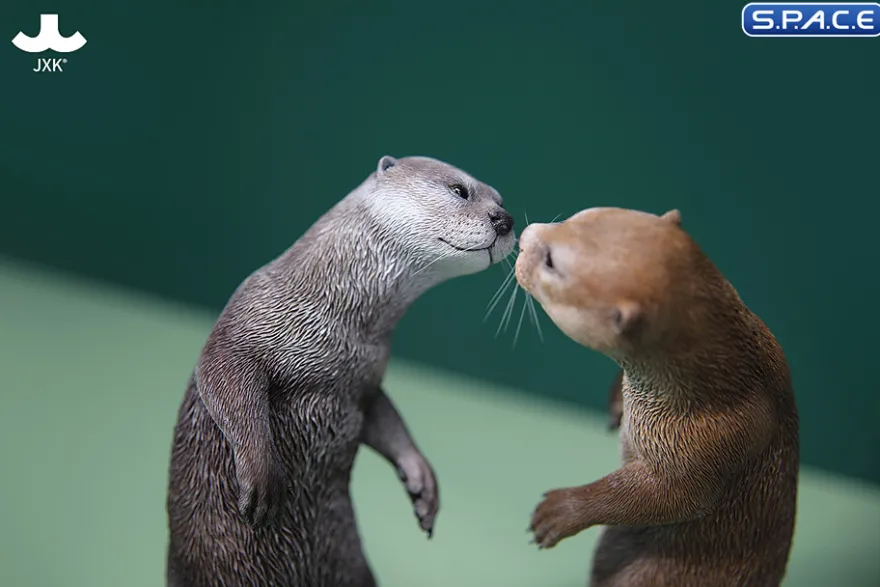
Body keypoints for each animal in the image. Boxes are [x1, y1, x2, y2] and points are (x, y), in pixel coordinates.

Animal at [165, 155, 516, 587]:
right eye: (459, 190)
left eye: (501, 199)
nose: (505, 219)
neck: (337, 317)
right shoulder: (245, 324)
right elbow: (224, 381)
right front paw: (261, 480)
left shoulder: (365, 379)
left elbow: (387, 421)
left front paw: (422, 483)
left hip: (352, 564)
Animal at [515, 207, 799, 587]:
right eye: (574, 217)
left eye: (550, 262)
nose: (524, 236)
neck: (715, 387)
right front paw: (615, 405)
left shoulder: (713, 439)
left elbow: (666, 498)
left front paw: (559, 511)